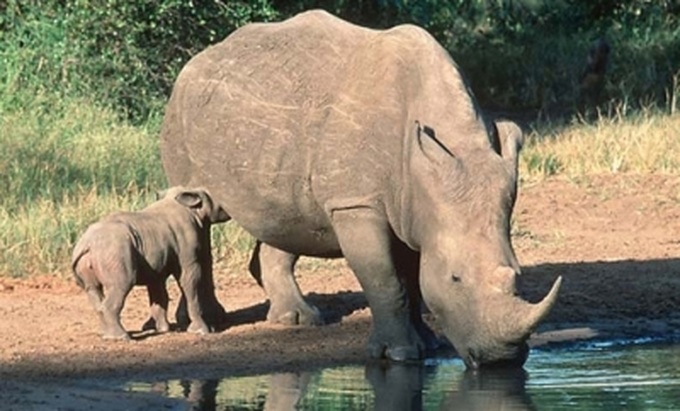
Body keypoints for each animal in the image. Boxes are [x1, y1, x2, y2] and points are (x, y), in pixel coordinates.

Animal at [160, 10, 561, 368]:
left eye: (518, 275)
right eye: (455, 278)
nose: (500, 359)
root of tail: (197, 60)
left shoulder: (413, 206)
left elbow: (411, 278)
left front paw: (428, 344)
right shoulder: (356, 204)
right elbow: (385, 278)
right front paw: (399, 354)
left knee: (283, 212)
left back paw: (297, 320)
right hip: (181, 111)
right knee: (198, 212)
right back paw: (213, 323)